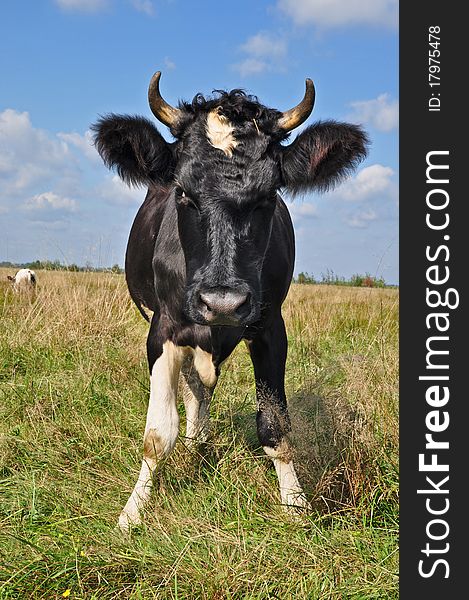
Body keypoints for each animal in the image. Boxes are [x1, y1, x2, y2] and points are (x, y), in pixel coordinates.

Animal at [92, 71, 370, 528]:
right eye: (183, 192)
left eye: (269, 194)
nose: (221, 303)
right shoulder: (163, 329)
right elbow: (157, 434)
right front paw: (133, 513)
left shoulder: (270, 326)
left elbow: (275, 425)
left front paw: (295, 505)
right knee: (193, 389)